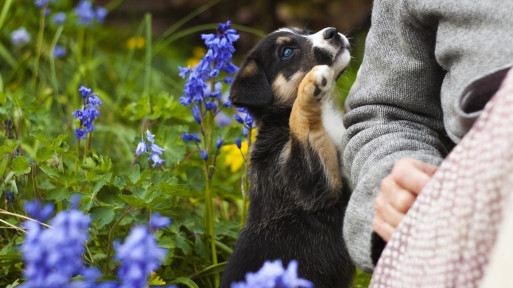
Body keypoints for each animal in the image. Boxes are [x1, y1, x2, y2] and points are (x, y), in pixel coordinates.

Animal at [220, 27, 356, 288]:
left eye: (306, 32)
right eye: (286, 52)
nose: (332, 32)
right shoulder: (311, 185)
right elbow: (301, 121)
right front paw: (310, 85)